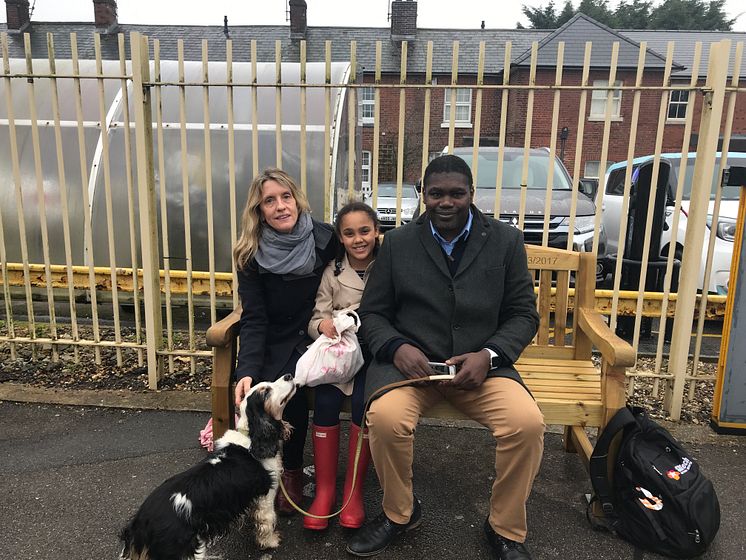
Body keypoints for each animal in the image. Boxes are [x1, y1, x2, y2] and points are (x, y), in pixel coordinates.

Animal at [119, 372, 296, 560]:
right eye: (266, 392)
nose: (288, 375)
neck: (252, 437)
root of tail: (140, 525)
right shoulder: (267, 496)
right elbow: (266, 521)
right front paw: (271, 541)